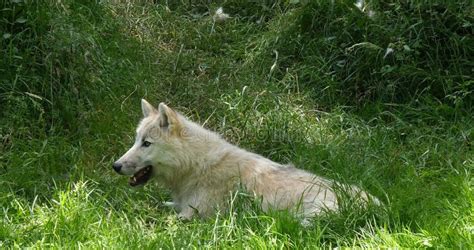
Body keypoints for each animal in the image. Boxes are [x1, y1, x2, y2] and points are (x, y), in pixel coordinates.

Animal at [113, 99, 376, 221]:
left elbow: (156, 216)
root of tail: (378, 206)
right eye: (136, 140)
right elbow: (156, 205)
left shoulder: (190, 215)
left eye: (146, 143)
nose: (115, 166)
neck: (197, 167)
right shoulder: (178, 204)